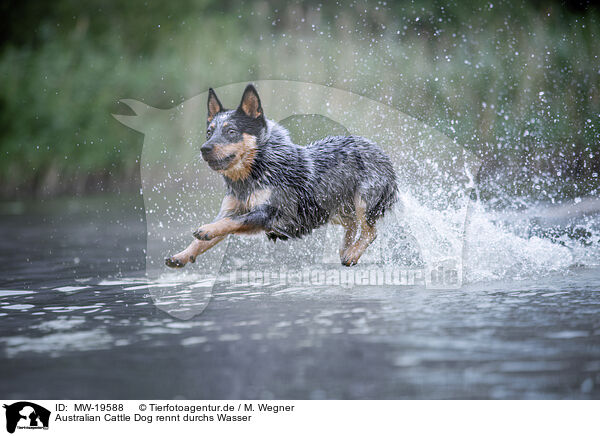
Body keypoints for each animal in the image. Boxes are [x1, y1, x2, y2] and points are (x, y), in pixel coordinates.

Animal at [165, 84, 398, 270]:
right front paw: (182, 255)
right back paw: (346, 248)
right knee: (352, 224)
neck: (250, 176)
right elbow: (211, 234)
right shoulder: (231, 208)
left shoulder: (268, 213)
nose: (204, 148)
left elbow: (231, 222)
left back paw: (352, 253)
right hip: (332, 208)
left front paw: (205, 229)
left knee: (370, 231)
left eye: (231, 131)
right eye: (209, 132)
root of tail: (380, 151)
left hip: (364, 200)